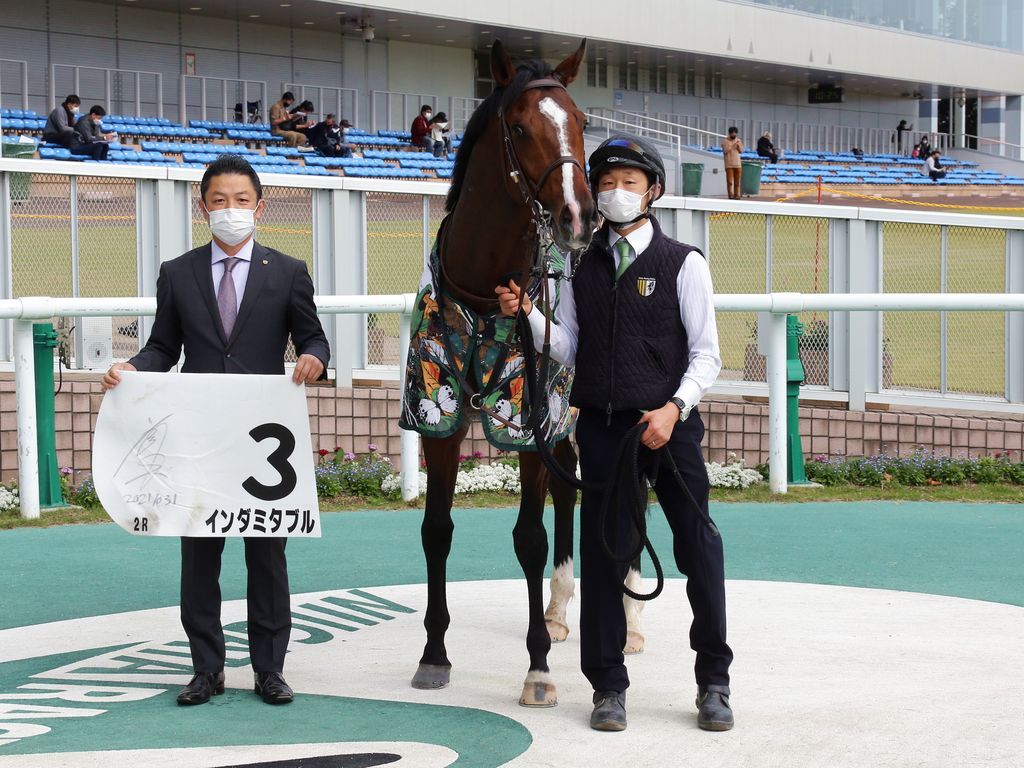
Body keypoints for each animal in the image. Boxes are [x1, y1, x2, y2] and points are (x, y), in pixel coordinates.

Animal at [400, 39, 598, 708]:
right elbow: (436, 530)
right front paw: (434, 654)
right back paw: (560, 613)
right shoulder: (438, 416)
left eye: (582, 122)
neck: (485, 295)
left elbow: (529, 539)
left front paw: (537, 669)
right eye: (519, 127)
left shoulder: (529, 421)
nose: (579, 216)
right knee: (570, 487)